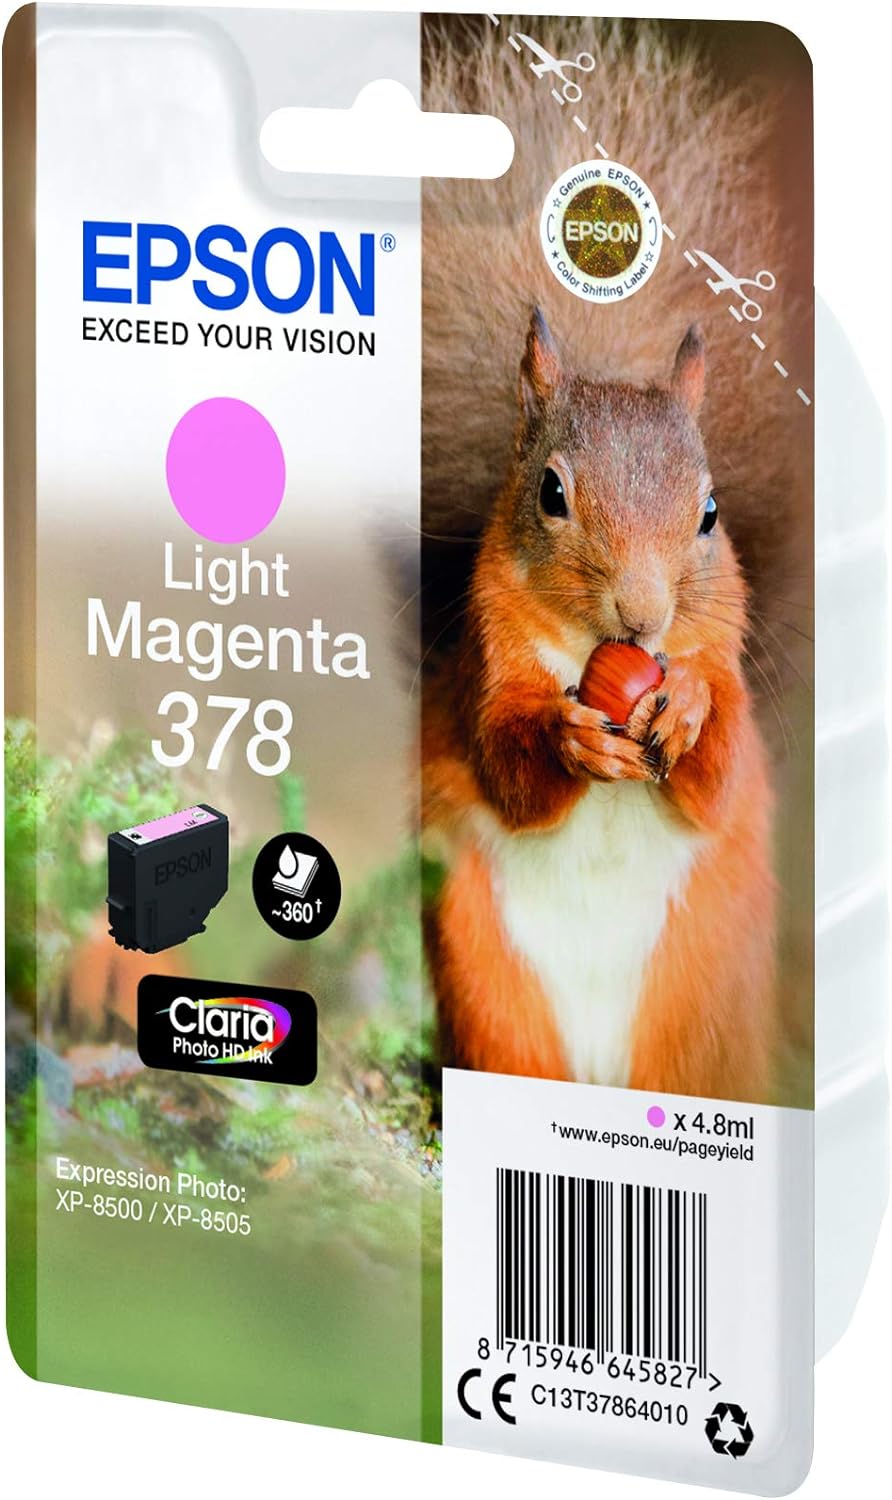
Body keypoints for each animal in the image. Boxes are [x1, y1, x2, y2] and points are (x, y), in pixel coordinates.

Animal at [419, 17, 812, 1102]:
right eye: (551, 494)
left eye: (710, 514)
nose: (642, 618)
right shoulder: (487, 662)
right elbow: (506, 764)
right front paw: (568, 740)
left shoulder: (723, 656)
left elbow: (718, 772)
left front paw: (685, 709)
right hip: (488, 980)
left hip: (698, 1002)